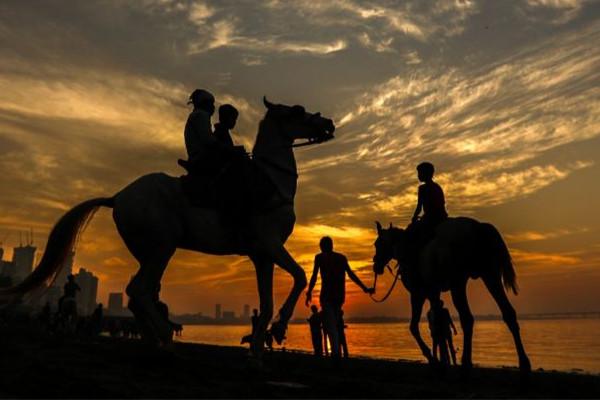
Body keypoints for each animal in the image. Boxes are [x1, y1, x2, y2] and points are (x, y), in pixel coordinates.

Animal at [0, 97, 336, 360]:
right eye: (297, 111)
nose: (329, 123)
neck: (270, 181)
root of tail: (118, 196)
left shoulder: (261, 256)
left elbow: (266, 303)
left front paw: (257, 349)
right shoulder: (269, 244)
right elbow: (300, 276)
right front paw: (280, 327)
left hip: (148, 250)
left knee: (138, 293)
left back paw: (154, 339)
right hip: (164, 245)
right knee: (139, 289)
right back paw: (164, 338)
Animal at [372, 219, 532, 376]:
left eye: (376, 244)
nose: (376, 265)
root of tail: (478, 227)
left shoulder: (419, 294)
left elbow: (416, 327)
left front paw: (436, 361)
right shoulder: (434, 293)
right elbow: (437, 326)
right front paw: (441, 361)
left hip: (459, 283)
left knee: (467, 318)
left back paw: (466, 364)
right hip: (490, 275)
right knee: (508, 313)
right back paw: (524, 363)